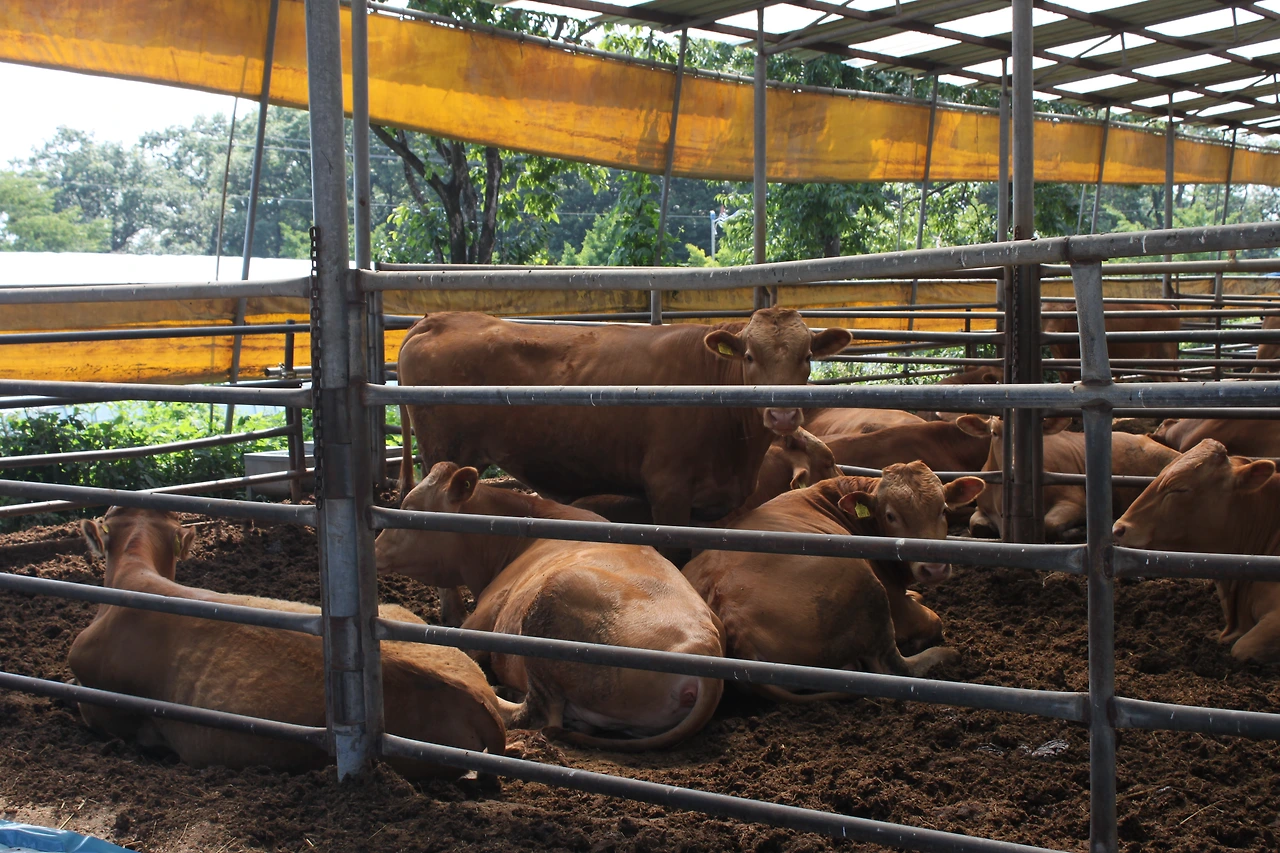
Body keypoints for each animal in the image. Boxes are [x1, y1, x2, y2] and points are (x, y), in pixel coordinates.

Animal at [376, 462, 725, 751]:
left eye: (410, 510)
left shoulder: (483, 616)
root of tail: (703, 646)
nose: (376, 548)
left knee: (536, 715)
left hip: (550, 602)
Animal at [396, 309, 851, 531]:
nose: (783, 412)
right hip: (445, 454)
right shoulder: (667, 490)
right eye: (750, 357)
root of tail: (438, 319)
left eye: (807, 357)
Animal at [682, 464, 985, 701]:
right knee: (893, 667)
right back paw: (945, 654)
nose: (933, 568)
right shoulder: (897, 605)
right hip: (868, 589)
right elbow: (933, 620)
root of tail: (727, 607)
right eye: (890, 515)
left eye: (943, 509)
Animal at [955, 416, 1182, 539]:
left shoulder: (1075, 501)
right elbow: (976, 525)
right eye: (994, 432)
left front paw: (1080, 530)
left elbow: (1049, 525)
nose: (1014, 467)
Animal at [1043, 303, 1181, 382]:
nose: (1051, 331)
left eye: (1061, 317)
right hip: (1154, 363)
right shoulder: (1064, 373)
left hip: (1164, 357)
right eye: (1043, 316)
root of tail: (1167, 306)